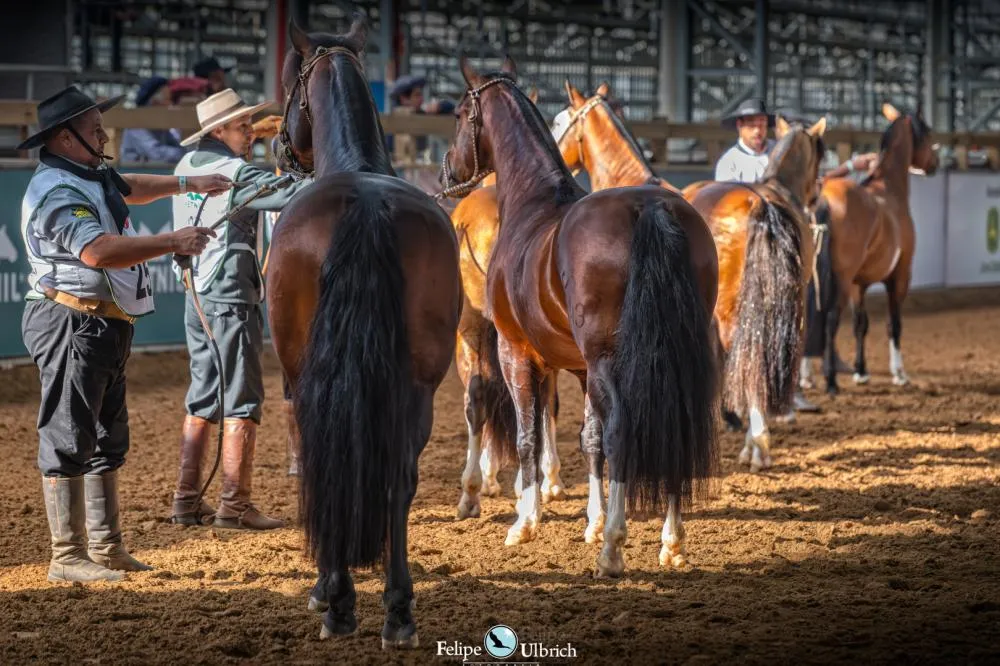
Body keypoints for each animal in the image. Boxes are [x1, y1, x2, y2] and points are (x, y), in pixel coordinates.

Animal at [266, 18, 462, 649]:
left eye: (288, 81)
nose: (281, 147)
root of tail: (368, 206)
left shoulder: (292, 379)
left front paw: (324, 590)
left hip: (308, 376)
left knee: (327, 467)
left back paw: (339, 601)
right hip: (420, 383)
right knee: (400, 478)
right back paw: (398, 612)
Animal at [441, 56, 720, 577]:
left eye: (458, 113)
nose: (449, 171)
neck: (533, 204)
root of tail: (652, 209)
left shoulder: (517, 349)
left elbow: (530, 436)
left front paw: (526, 521)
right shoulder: (581, 366)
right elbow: (588, 439)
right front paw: (589, 520)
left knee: (619, 432)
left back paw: (612, 549)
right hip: (672, 354)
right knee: (673, 426)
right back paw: (671, 542)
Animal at [805, 103, 938, 395]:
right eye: (926, 133)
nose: (935, 163)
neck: (888, 188)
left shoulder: (860, 284)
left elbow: (860, 325)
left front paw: (861, 371)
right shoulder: (899, 276)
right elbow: (893, 324)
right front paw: (899, 373)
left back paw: (806, 378)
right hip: (841, 281)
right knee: (830, 320)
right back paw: (830, 381)